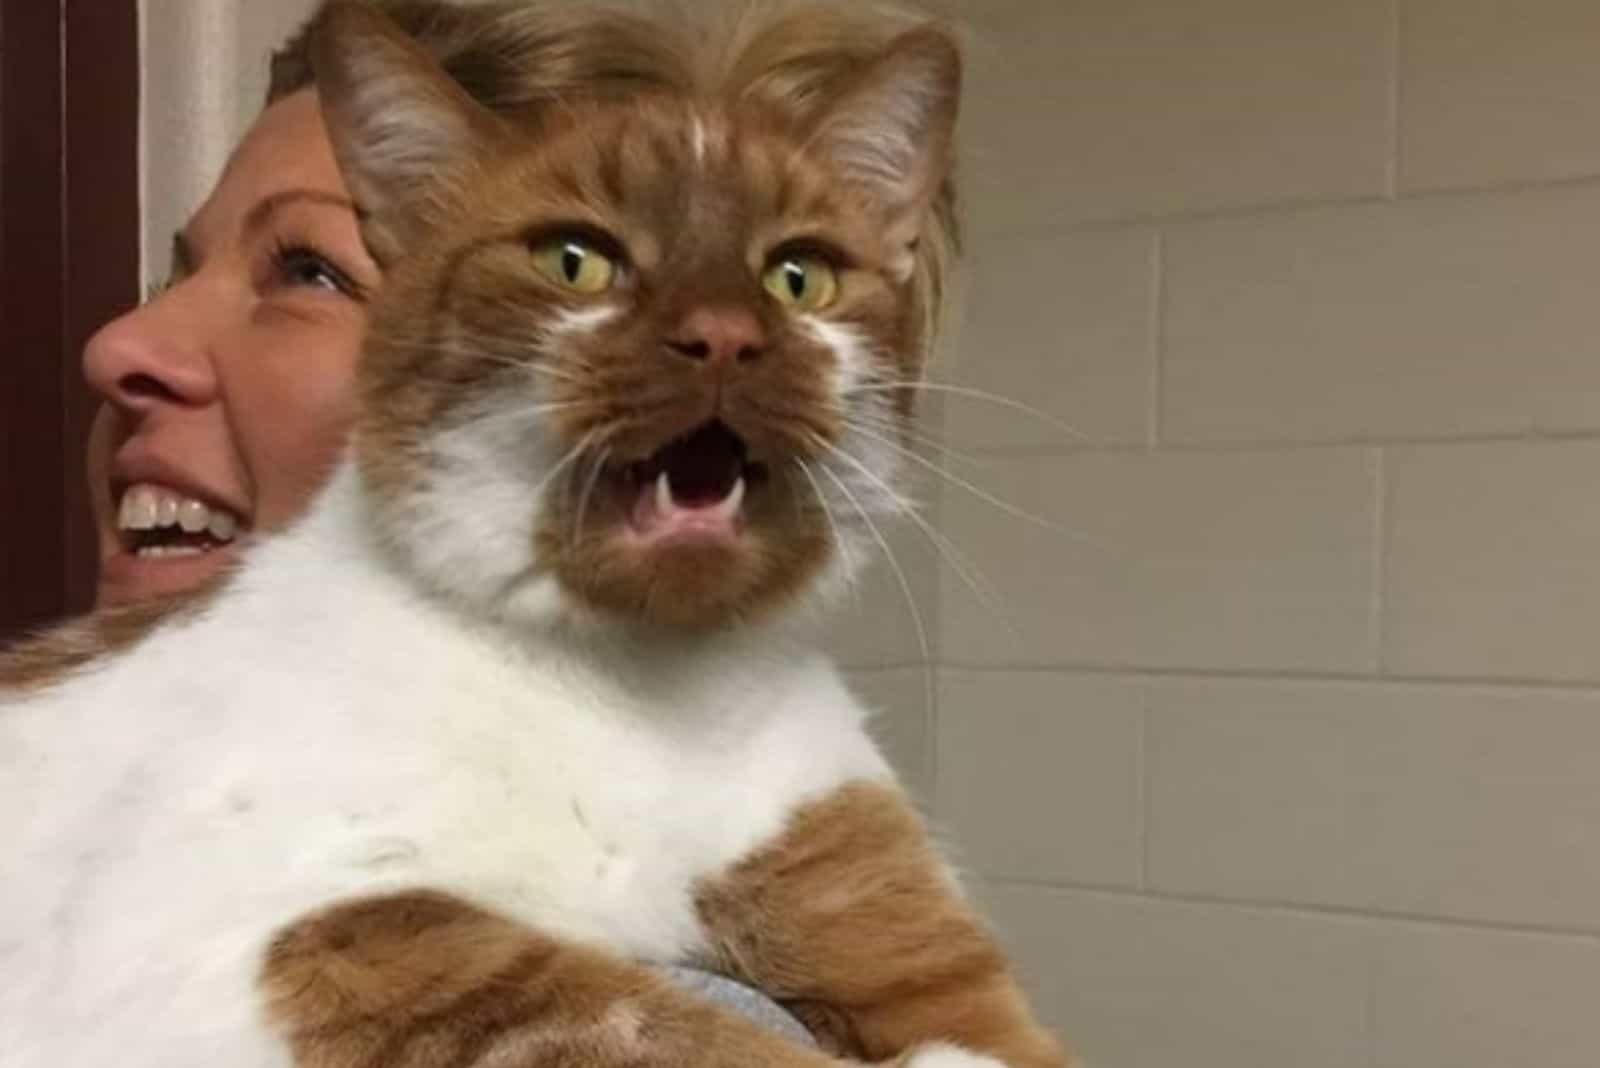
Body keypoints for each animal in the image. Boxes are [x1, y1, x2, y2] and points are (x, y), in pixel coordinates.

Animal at [3, 2, 1075, 1068]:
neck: (642, 695)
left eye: (797, 276)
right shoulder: (253, 929)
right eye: (575, 261)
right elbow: (610, 1010)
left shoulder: (875, 903)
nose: (724, 334)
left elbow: (964, 1018)